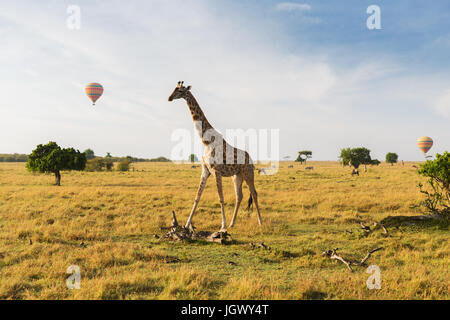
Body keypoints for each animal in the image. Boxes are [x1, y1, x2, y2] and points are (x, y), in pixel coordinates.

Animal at [167, 81, 262, 231]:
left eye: (181, 91)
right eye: (174, 89)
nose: (169, 98)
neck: (206, 141)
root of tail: (251, 159)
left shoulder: (216, 171)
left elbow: (220, 198)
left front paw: (222, 225)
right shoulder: (205, 171)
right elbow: (197, 197)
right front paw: (187, 224)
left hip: (248, 173)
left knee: (254, 193)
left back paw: (260, 222)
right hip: (237, 176)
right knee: (239, 196)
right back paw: (232, 223)